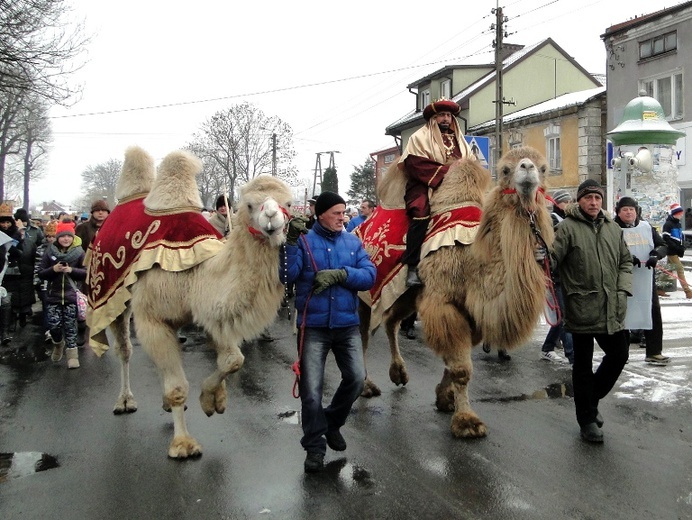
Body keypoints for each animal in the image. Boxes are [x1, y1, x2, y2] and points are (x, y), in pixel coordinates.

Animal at [86, 146, 292, 460]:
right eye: (249, 205)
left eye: (288, 204)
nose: (271, 218)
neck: (194, 278)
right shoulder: (153, 318)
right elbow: (177, 387)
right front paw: (183, 444)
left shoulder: (208, 314)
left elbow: (234, 360)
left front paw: (211, 400)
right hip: (111, 299)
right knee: (124, 350)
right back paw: (124, 401)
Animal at [360, 146, 556, 438]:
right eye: (505, 169)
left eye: (543, 168)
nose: (528, 169)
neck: (471, 261)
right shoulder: (444, 302)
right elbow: (462, 368)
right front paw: (466, 421)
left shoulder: (469, 311)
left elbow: (453, 358)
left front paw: (445, 397)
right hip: (362, 292)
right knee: (362, 334)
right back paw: (366, 385)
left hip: (404, 295)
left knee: (391, 322)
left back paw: (398, 373)